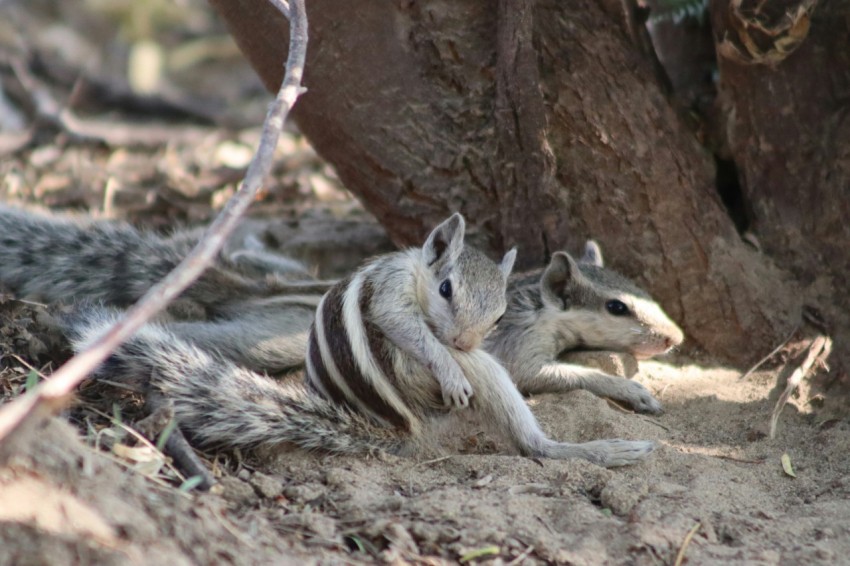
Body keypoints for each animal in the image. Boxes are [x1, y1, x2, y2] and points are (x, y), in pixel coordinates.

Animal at [36, 214, 652, 470]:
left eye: (640, 295)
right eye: (616, 306)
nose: (666, 337)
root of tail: (399, 431)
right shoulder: (401, 300)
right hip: (268, 342)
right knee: (529, 441)